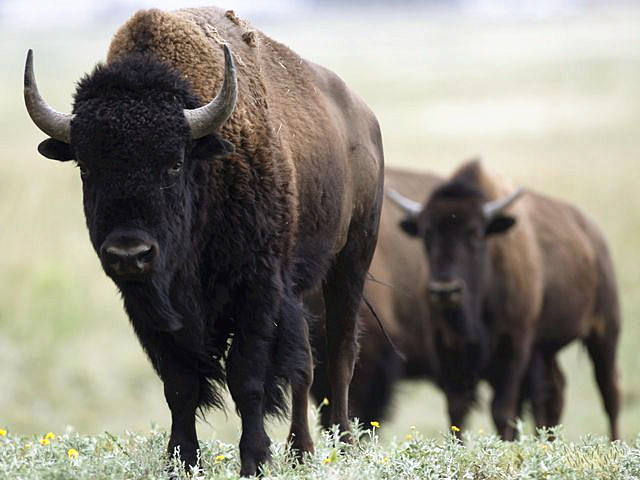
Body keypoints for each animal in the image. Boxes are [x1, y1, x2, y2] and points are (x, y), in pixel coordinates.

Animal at [23, 5, 384, 474]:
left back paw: (339, 444)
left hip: (351, 260)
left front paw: (254, 460)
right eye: (86, 167)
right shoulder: (152, 310)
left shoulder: (257, 290)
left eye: (174, 163)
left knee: (338, 355)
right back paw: (301, 453)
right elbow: (180, 385)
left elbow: (247, 378)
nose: (128, 253)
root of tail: (364, 119)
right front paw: (180, 459)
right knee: (305, 364)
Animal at [314, 163, 620, 440]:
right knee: (553, 393)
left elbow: (502, 410)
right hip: (544, 351)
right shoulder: (449, 353)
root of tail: (593, 235)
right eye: (427, 234)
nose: (445, 290)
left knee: (609, 395)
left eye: (475, 233)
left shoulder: (513, 348)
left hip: (603, 334)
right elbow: (458, 410)